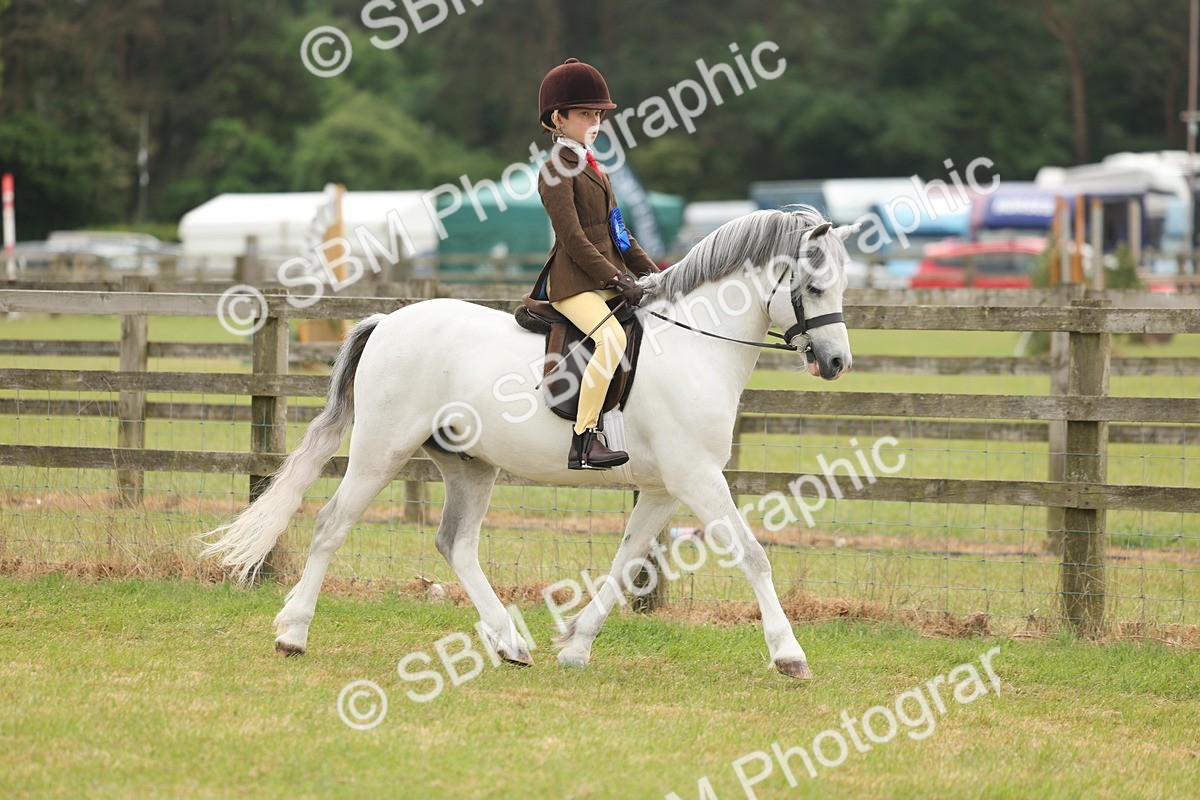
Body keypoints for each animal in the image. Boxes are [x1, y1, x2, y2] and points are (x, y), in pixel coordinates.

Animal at [202, 206, 856, 680]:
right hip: (381, 451)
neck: (694, 343)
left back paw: (510, 643)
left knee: (456, 544)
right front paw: (789, 654)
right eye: (815, 285)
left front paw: (576, 647)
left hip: (470, 466)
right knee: (331, 524)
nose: (836, 363)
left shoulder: (664, 488)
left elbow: (625, 563)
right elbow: (753, 554)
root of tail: (387, 321)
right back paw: (293, 633)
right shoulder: (697, 478)